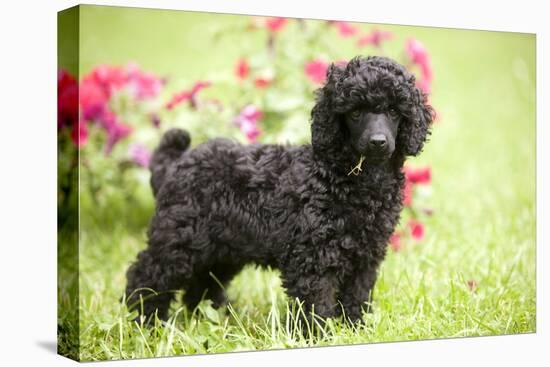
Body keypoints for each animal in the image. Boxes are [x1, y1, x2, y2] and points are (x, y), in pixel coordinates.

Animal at [125, 55, 436, 324]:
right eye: (356, 113)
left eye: (394, 111)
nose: (378, 142)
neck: (350, 177)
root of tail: (176, 163)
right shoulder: (312, 256)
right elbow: (316, 303)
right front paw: (318, 335)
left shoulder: (366, 254)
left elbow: (356, 296)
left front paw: (355, 327)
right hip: (178, 238)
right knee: (147, 275)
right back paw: (145, 321)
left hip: (221, 248)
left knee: (202, 284)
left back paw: (214, 317)